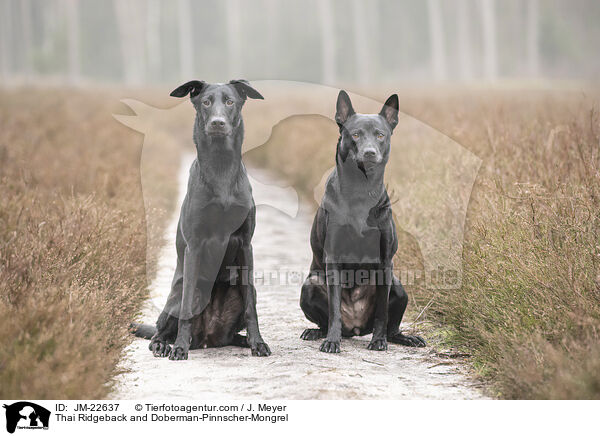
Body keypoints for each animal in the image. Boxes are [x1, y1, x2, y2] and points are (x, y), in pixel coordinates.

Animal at [132, 80, 274, 360]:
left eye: (229, 102)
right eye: (206, 102)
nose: (218, 123)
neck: (220, 167)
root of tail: (209, 338)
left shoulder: (245, 245)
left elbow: (252, 309)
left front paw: (258, 342)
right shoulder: (195, 245)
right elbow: (187, 309)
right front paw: (179, 347)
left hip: (241, 292)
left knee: (238, 321)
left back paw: (242, 341)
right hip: (179, 294)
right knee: (158, 331)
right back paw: (166, 344)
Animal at [300, 90, 426, 352]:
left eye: (380, 135)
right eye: (355, 134)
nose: (370, 153)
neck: (360, 192)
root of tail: (356, 328)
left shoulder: (386, 262)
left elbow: (382, 313)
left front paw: (378, 341)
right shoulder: (333, 258)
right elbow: (334, 309)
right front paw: (332, 341)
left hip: (398, 286)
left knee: (392, 326)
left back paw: (403, 337)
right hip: (311, 285)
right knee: (326, 319)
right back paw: (318, 333)